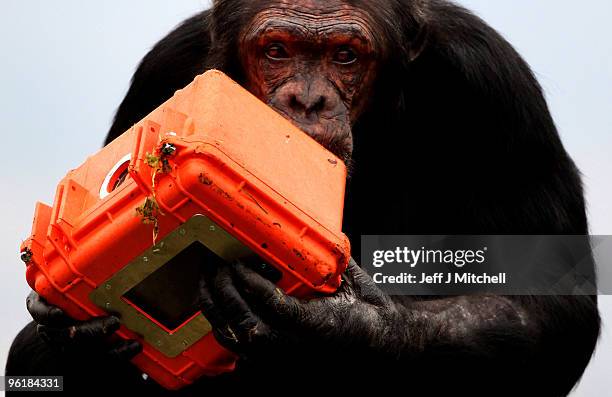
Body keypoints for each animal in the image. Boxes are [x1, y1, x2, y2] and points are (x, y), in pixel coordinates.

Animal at [5, 1, 596, 394]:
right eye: (276, 50)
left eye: (345, 56)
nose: (307, 100)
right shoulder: (162, 69)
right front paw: (72, 332)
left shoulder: (496, 88)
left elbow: (548, 302)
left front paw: (340, 324)